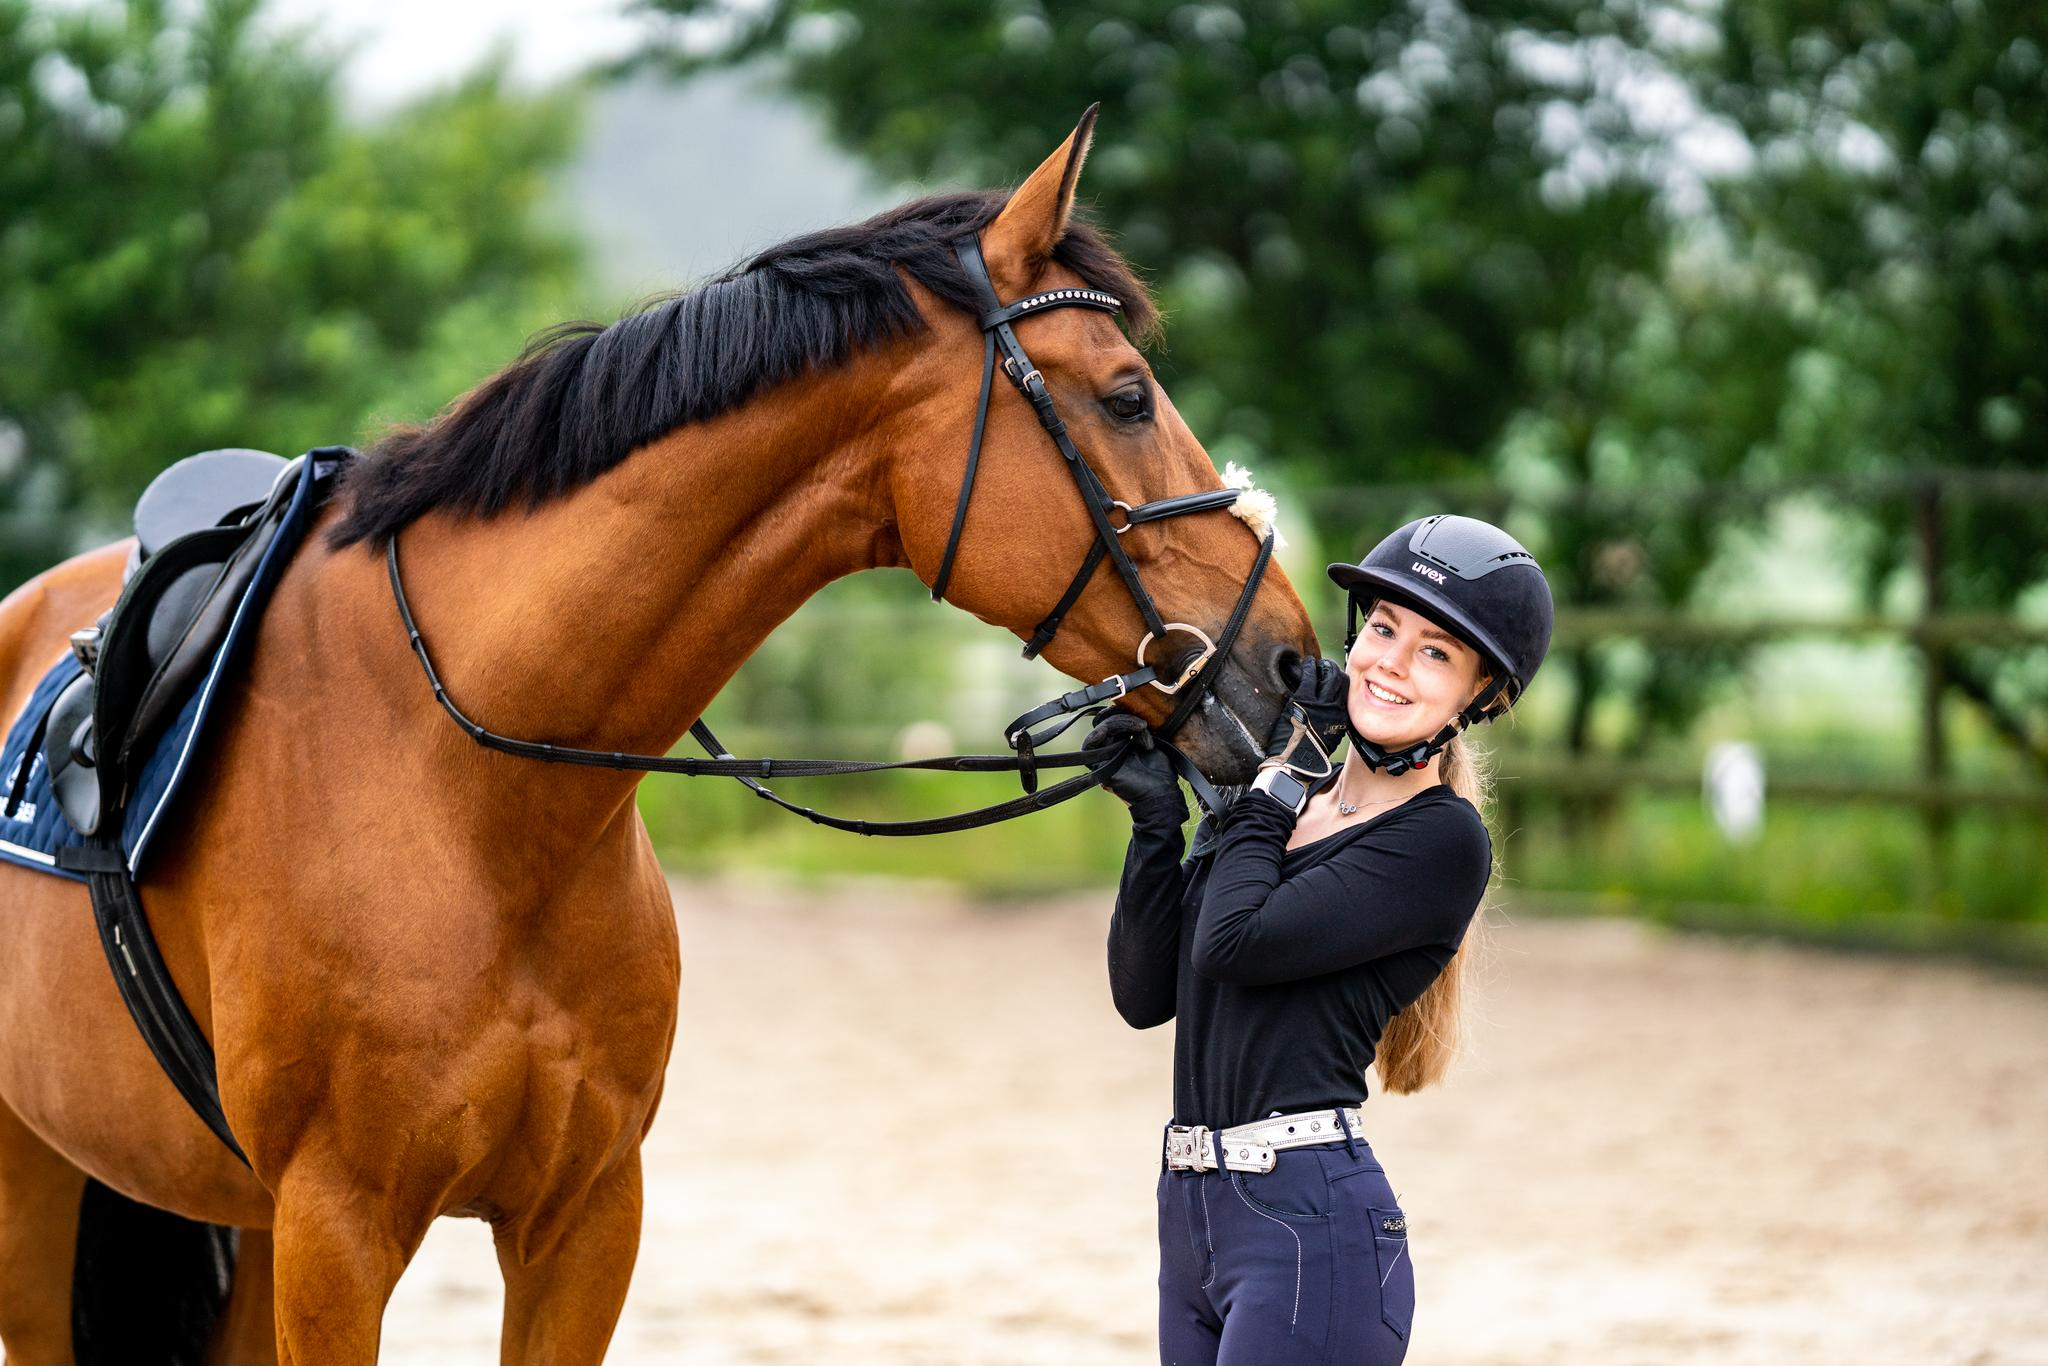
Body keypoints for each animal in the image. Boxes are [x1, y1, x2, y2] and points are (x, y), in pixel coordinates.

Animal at [0, 111, 1314, 1362]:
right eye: (1127, 396)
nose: (1295, 663)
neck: (467, 793)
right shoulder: (341, 1230)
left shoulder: (582, 1220)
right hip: (47, 1190)